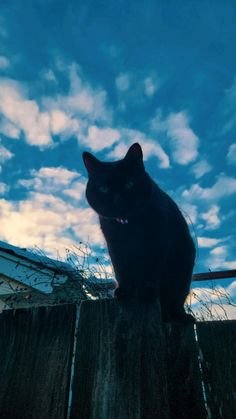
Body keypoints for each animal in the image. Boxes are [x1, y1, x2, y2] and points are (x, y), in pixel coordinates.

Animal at [82, 143, 195, 324]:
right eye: (104, 188)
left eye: (129, 184)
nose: (117, 199)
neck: (129, 226)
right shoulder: (115, 246)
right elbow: (122, 269)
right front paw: (124, 291)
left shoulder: (157, 240)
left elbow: (151, 268)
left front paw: (148, 290)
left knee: (175, 300)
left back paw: (181, 316)